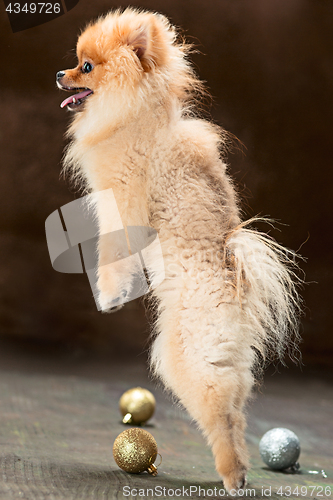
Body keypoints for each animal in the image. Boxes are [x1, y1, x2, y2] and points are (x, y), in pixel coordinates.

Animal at [55, 7, 300, 492]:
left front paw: (109, 297)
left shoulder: (121, 201)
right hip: (225, 361)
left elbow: (110, 257)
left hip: (187, 352)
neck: (135, 113)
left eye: (86, 67)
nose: (59, 74)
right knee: (235, 409)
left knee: (218, 412)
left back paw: (232, 476)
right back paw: (241, 469)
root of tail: (235, 283)